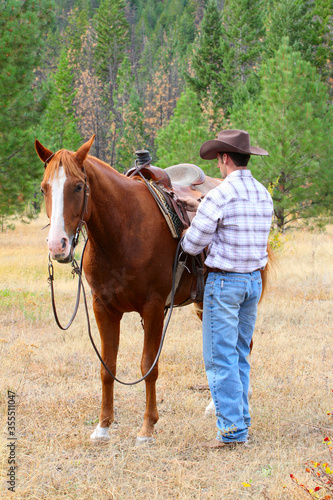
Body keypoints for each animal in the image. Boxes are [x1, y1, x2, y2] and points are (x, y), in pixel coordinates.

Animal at [35, 135, 272, 444]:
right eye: (44, 188)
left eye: (77, 186)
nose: (57, 246)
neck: (122, 232)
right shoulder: (103, 307)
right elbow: (107, 367)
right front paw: (103, 427)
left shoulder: (153, 308)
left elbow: (149, 367)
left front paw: (147, 428)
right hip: (204, 304)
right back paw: (215, 404)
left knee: (243, 346)